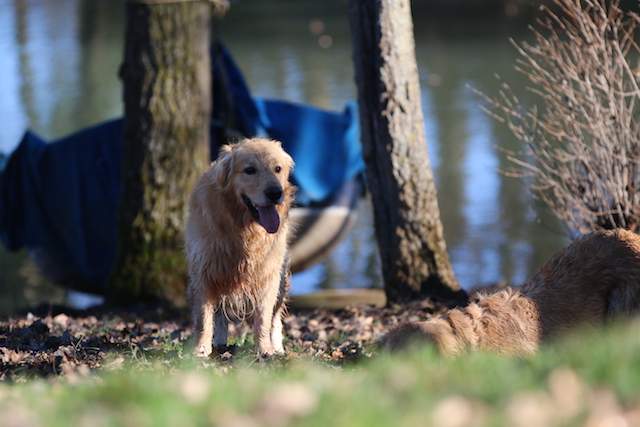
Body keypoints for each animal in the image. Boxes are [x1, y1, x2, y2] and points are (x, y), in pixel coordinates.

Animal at [185, 138, 295, 357]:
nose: (275, 193)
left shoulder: (268, 274)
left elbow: (264, 318)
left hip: (281, 278)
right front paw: (201, 349)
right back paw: (219, 343)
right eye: (249, 170)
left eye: (277, 169)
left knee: (275, 317)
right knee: (219, 314)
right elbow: (204, 317)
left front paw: (265, 350)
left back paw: (278, 347)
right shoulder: (204, 271)